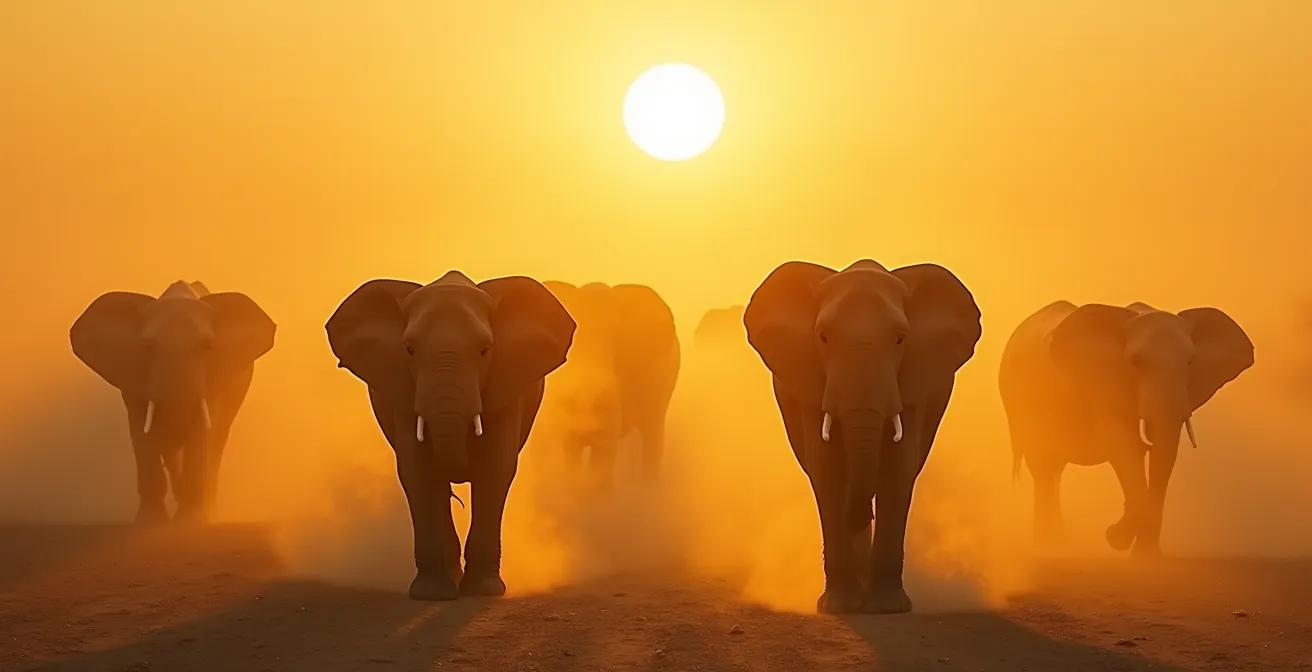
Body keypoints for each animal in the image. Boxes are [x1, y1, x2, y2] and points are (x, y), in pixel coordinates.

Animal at [70, 281, 276, 523]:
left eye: (208, 346)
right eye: (148, 346)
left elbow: (201, 432)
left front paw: (192, 522)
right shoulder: (133, 379)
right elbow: (142, 433)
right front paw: (150, 523)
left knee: (217, 440)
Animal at [325, 271, 575, 601]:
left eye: (485, 350)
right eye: (409, 349)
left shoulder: (507, 389)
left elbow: (495, 469)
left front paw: (483, 592)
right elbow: (418, 472)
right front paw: (431, 595)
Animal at [744, 259, 981, 614]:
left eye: (900, 339)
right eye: (823, 337)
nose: (860, 514)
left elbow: (898, 470)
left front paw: (888, 608)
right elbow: (827, 470)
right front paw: (840, 607)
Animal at [999, 301, 1253, 557]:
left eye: (1190, 362)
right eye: (1136, 362)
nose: (1110, 531)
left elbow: (1153, 451)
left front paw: (1147, 558)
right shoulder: (1103, 383)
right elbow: (1124, 447)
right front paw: (1120, 539)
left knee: (1054, 469)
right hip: (1020, 405)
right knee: (1041, 468)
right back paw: (1049, 546)